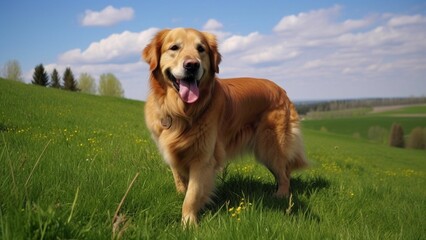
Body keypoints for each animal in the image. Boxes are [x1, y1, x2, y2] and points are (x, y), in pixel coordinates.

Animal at [143, 27, 306, 225]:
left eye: (201, 49)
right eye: (174, 47)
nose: (192, 65)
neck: (181, 111)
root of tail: (282, 90)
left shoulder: (203, 158)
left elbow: (192, 194)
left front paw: (189, 223)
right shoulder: (172, 151)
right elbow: (180, 182)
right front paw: (181, 199)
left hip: (269, 146)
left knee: (284, 173)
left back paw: (281, 195)